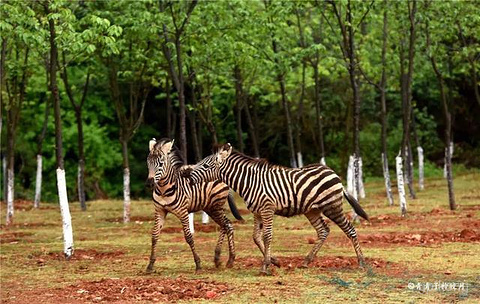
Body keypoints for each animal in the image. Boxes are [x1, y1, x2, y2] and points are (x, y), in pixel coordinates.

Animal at [145, 139, 237, 272]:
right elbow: (154, 235)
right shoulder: (160, 211)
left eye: (161, 164)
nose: (149, 184)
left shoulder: (183, 212)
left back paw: (228, 258)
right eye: (148, 162)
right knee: (225, 225)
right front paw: (150, 265)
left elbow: (188, 237)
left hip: (216, 205)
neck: (163, 190)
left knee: (227, 225)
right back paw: (219, 258)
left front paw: (198, 264)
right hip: (210, 208)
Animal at [182, 144, 370, 274]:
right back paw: (306, 261)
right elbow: (256, 237)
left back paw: (361, 262)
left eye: (205, 166)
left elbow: (267, 236)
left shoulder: (267, 209)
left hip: (332, 206)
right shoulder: (257, 212)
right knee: (323, 231)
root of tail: (333, 173)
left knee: (350, 230)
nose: (185, 174)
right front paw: (274, 261)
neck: (250, 182)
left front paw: (265, 266)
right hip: (312, 210)